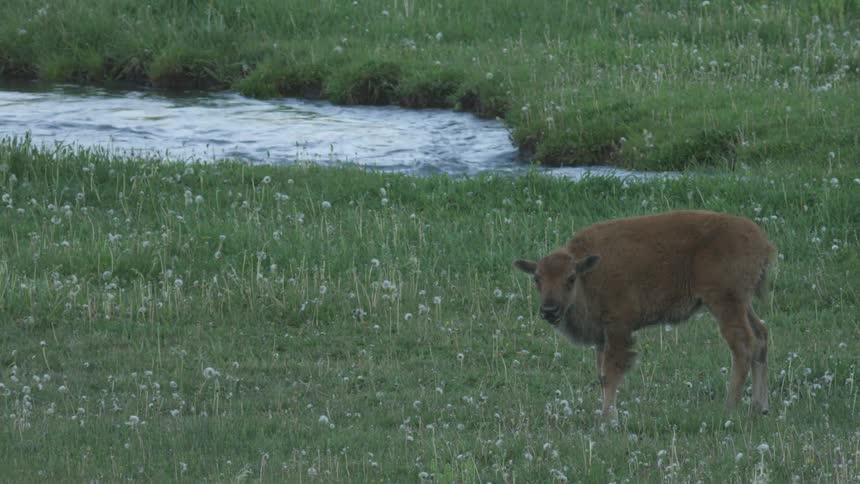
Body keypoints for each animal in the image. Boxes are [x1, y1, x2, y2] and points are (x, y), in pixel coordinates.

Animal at [513, 210, 775, 417]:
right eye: (537, 279)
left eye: (570, 278)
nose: (549, 310)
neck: (589, 274)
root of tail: (763, 242)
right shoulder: (601, 337)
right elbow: (601, 374)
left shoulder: (618, 328)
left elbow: (610, 373)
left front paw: (608, 418)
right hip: (743, 303)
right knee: (761, 335)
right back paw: (759, 406)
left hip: (725, 303)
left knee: (743, 345)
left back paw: (729, 406)